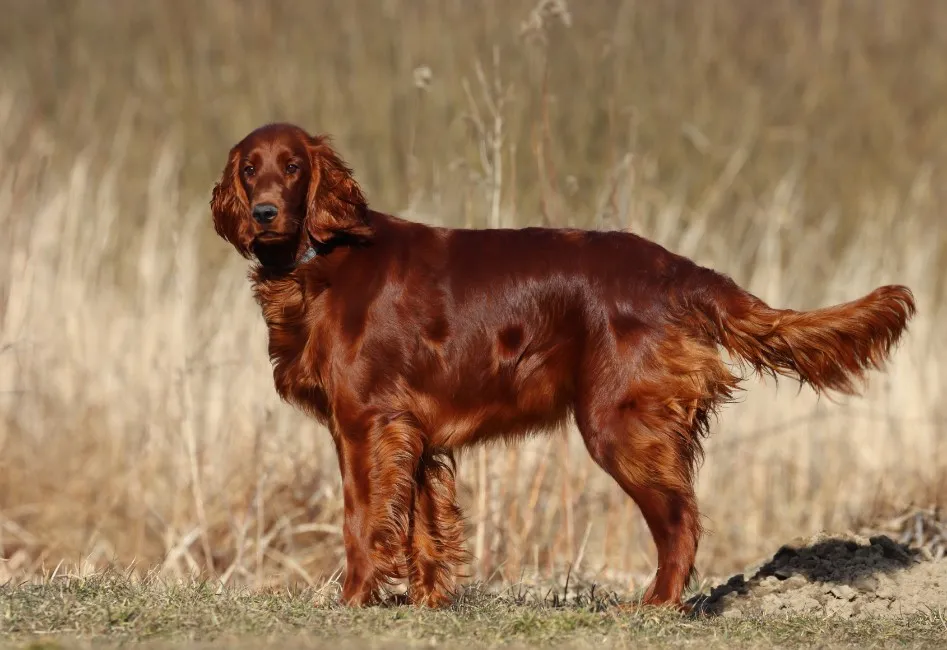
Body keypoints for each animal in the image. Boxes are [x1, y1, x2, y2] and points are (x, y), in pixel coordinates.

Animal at [211, 124, 916, 612]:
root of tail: (678, 269)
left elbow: (362, 520)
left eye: (293, 166)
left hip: (616, 424)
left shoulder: (365, 424)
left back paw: (654, 608)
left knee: (681, 520)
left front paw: (353, 600)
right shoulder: (411, 433)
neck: (319, 259)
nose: (266, 213)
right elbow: (422, 528)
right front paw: (425, 603)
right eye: (250, 168)